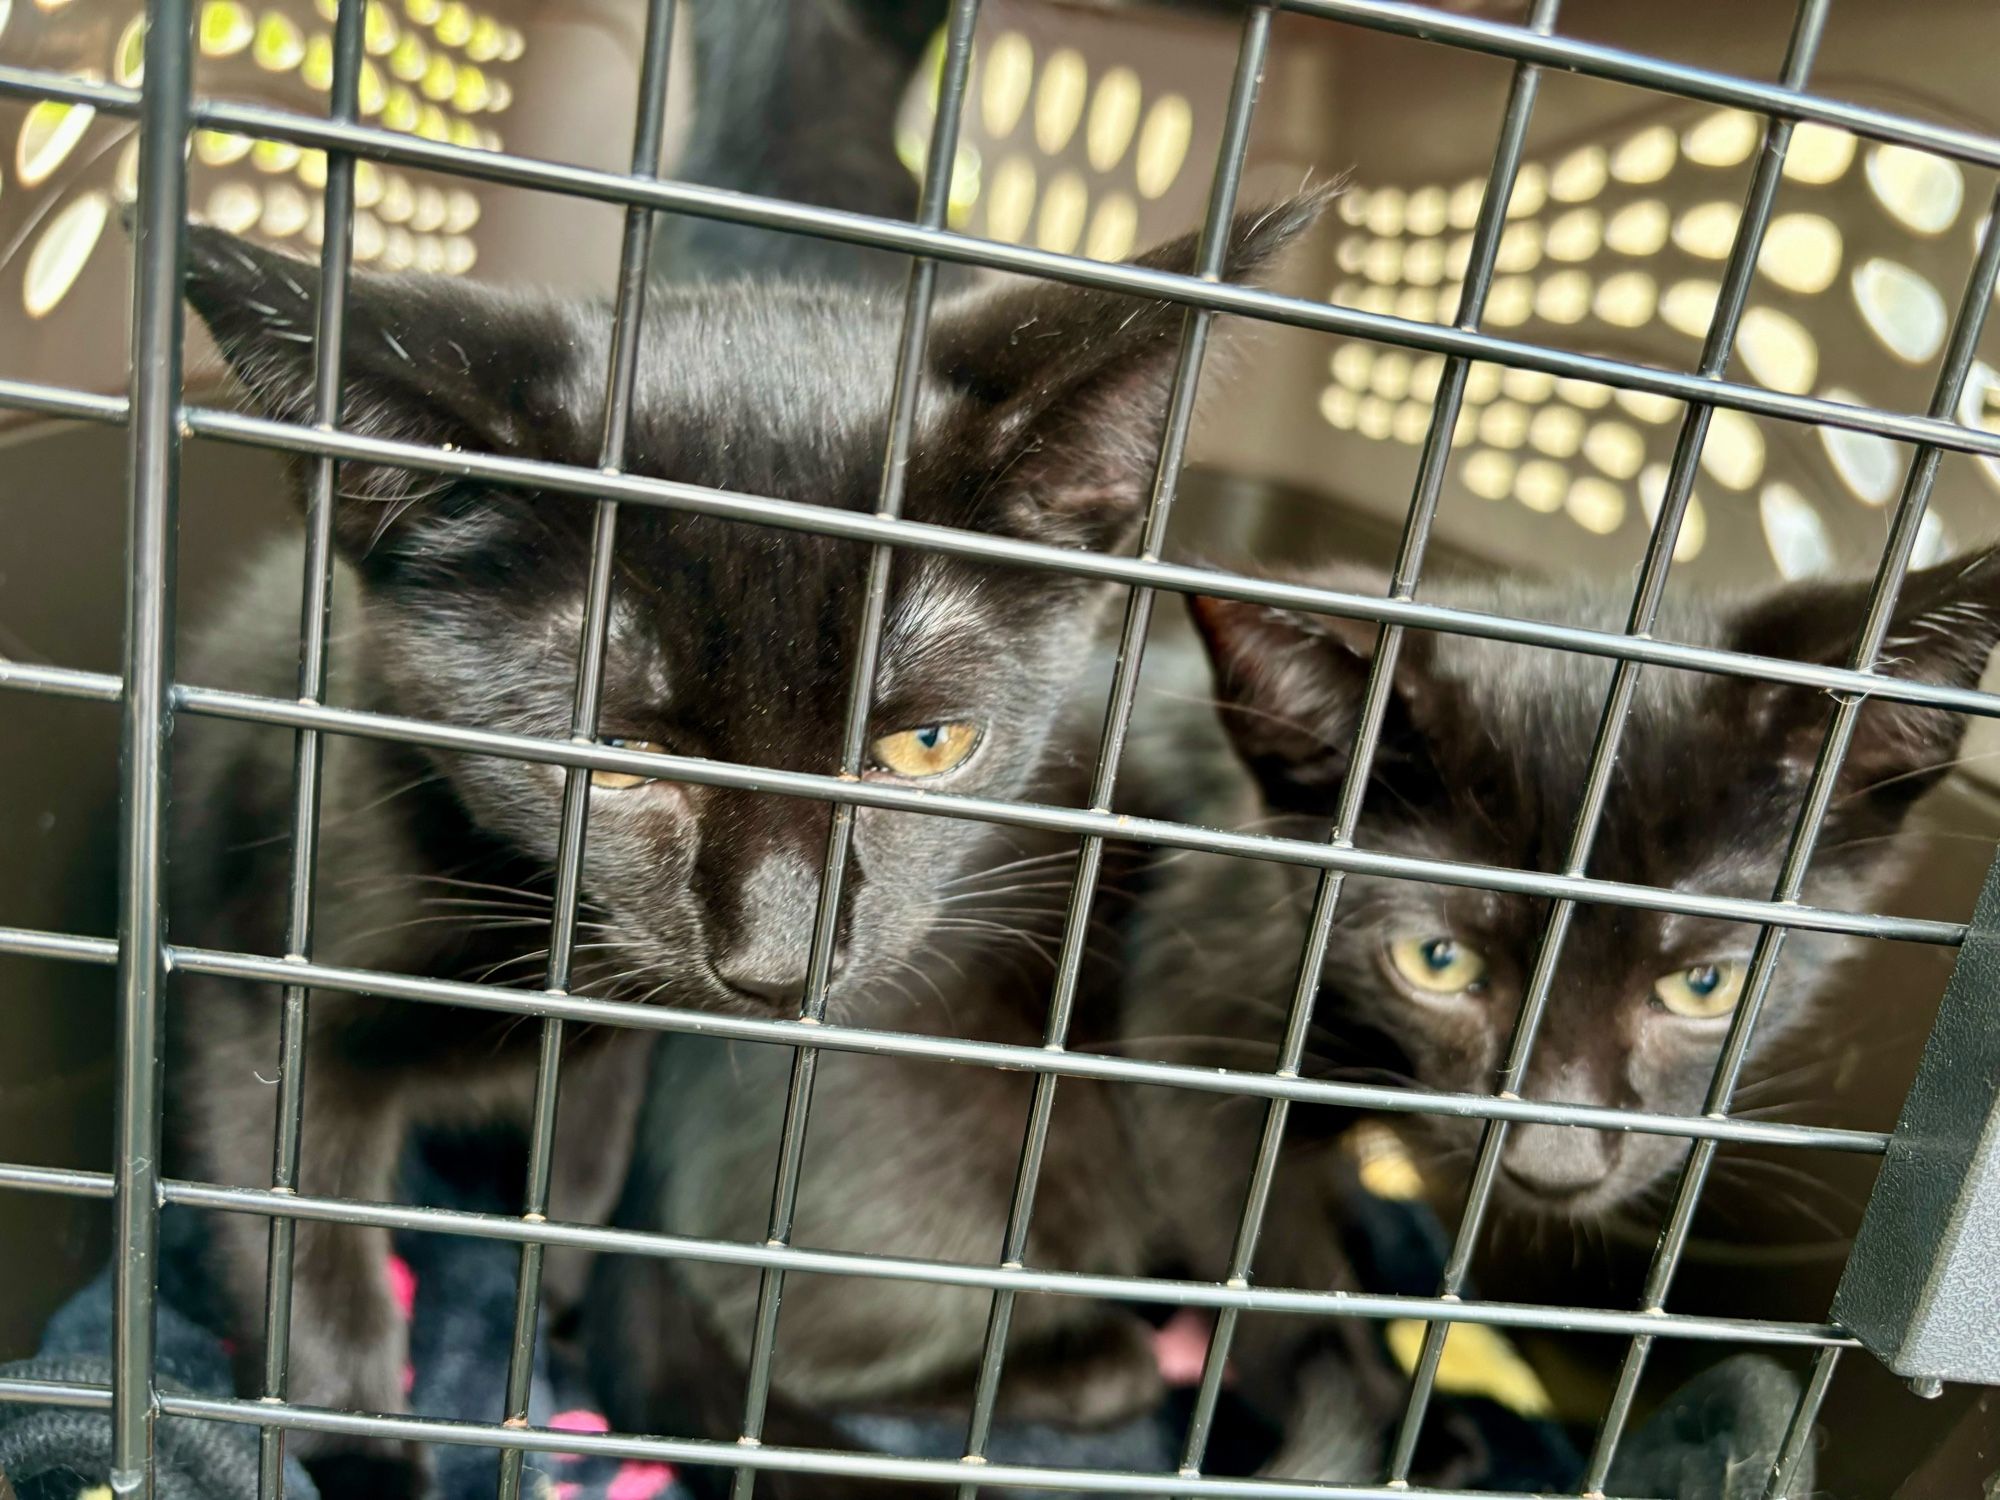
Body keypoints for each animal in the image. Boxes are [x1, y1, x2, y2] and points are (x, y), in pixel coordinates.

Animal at [168, 197, 1328, 1496]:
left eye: (928, 743)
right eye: (615, 751)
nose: (777, 962)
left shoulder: (617, 1057)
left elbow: (579, 1187)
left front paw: (554, 1304)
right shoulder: (255, 992)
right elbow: (304, 1259)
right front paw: (358, 1453)